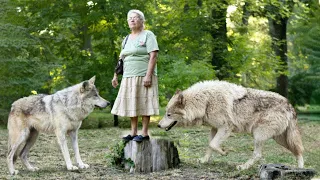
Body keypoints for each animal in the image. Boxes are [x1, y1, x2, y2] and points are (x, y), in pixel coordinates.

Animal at [159, 80, 304, 170]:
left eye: (168, 114)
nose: (159, 125)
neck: (205, 102)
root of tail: (289, 104)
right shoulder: (214, 128)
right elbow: (210, 145)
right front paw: (205, 160)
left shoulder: (225, 128)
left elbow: (213, 145)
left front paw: (224, 152)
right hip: (281, 139)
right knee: (298, 151)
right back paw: (300, 169)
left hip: (258, 135)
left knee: (258, 155)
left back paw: (243, 167)